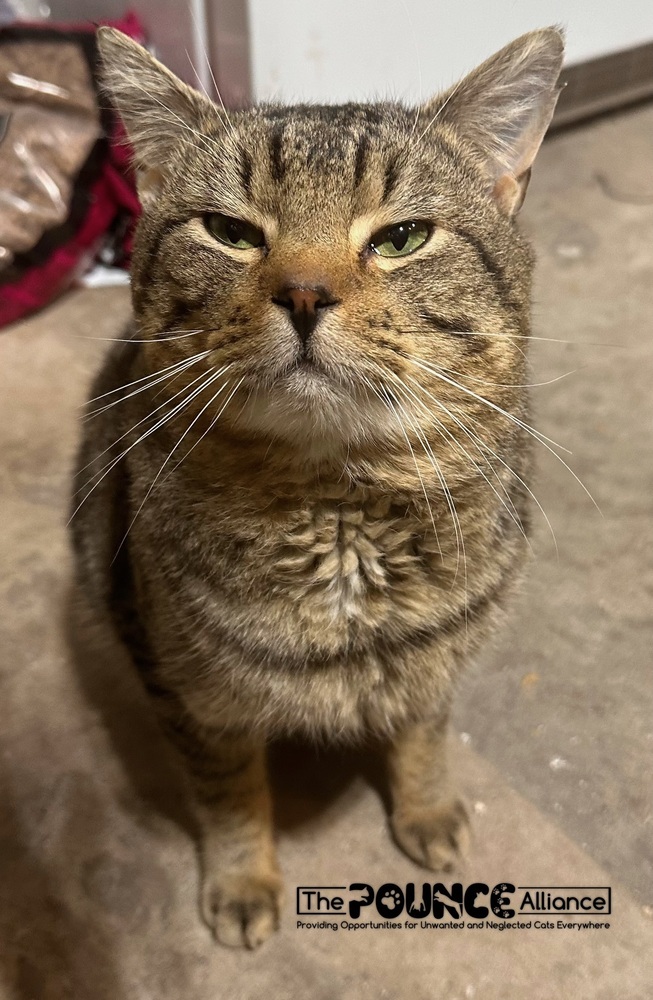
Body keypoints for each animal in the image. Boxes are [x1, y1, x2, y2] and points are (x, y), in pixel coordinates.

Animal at [72, 23, 564, 944]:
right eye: (229, 230)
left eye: (402, 237)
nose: (304, 293)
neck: (337, 508)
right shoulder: (191, 694)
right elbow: (228, 791)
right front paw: (241, 880)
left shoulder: (434, 661)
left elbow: (422, 733)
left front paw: (425, 808)